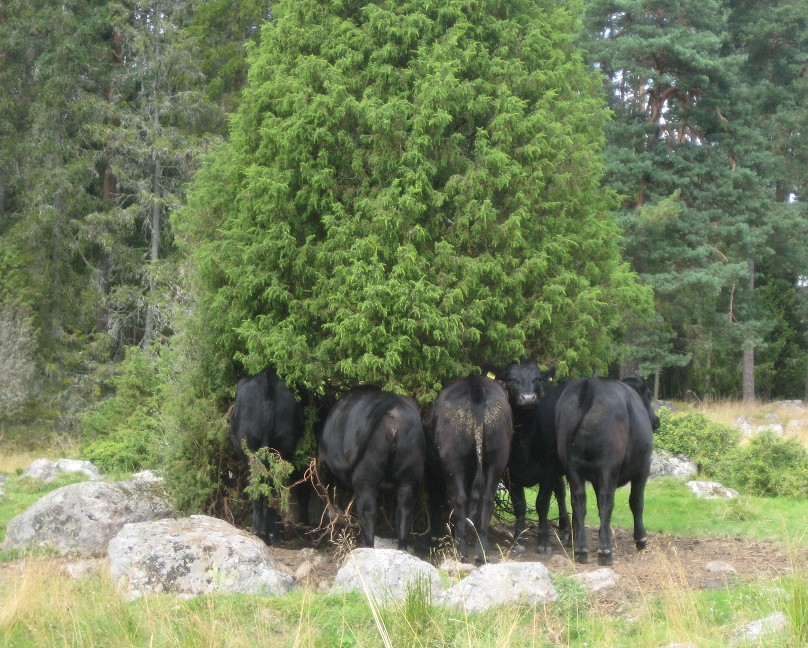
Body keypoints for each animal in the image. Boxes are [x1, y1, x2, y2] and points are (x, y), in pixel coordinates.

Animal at [230, 367, 312, 545]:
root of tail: (268, 380)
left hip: (252, 448)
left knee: (262, 485)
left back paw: (261, 531)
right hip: (282, 445)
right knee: (274, 485)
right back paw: (274, 533)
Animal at [317, 386, 425, 550]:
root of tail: (392, 403)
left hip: (365, 477)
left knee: (367, 512)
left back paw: (367, 545)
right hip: (408, 479)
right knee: (404, 513)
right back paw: (401, 548)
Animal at [425, 375, 513, 562]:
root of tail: (475, 385)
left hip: (454, 461)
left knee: (459, 498)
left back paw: (461, 550)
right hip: (497, 458)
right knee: (487, 498)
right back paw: (482, 551)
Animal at [495, 362, 570, 555]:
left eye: (537, 379)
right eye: (511, 380)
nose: (528, 398)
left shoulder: (550, 467)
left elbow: (542, 503)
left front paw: (543, 542)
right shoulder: (508, 472)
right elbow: (519, 504)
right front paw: (518, 540)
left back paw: (568, 531)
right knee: (560, 490)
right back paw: (563, 526)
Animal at [555, 376, 659, 565]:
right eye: (648, 396)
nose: (656, 420)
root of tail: (591, 383)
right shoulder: (643, 468)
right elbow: (637, 502)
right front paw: (641, 539)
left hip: (572, 468)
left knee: (578, 501)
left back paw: (580, 549)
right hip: (608, 466)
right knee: (607, 502)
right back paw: (605, 551)